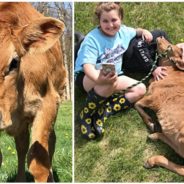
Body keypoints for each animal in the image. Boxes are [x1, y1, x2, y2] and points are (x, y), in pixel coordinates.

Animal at [134, 36, 184, 176]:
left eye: (170, 47)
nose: (160, 37)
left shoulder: (154, 98)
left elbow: (136, 103)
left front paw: (150, 122)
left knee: (182, 169)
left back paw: (152, 160)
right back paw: (154, 136)